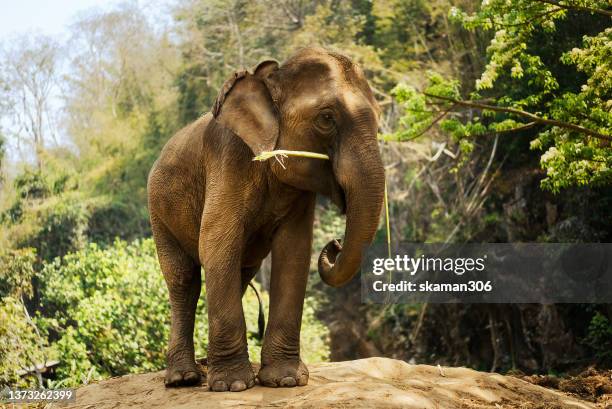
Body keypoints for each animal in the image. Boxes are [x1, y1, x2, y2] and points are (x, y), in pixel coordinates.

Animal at [147, 46, 382, 390]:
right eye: (326, 118)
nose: (335, 244)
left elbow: (293, 251)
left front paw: (285, 380)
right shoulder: (227, 158)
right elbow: (216, 244)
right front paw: (232, 386)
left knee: (240, 274)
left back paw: (205, 367)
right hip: (158, 212)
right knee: (183, 279)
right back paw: (184, 378)